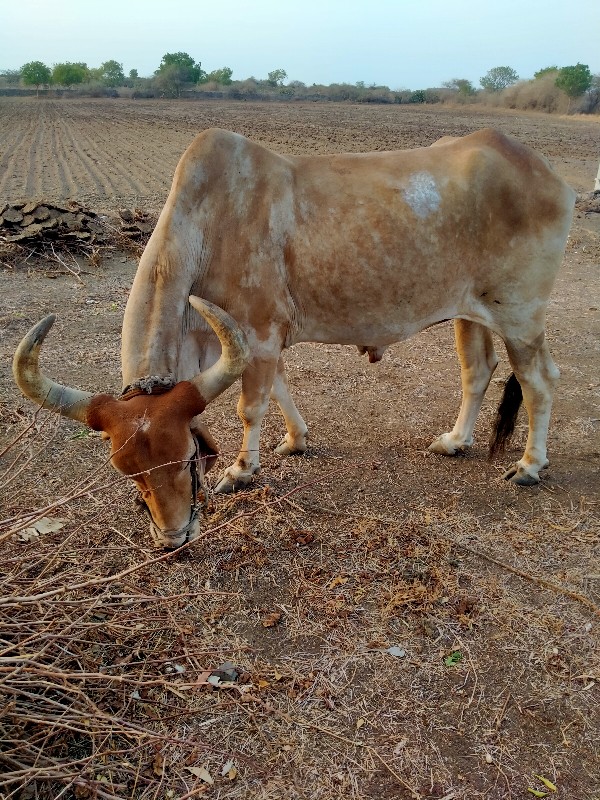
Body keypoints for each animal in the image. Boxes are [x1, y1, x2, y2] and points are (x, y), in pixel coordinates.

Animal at [12, 128, 576, 548]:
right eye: (129, 471)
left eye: (189, 458)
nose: (174, 537)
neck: (208, 225)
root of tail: (547, 175)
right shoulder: (258, 342)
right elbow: (279, 391)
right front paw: (296, 440)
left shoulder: (258, 335)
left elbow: (251, 407)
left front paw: (242, 470)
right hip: (470, 312)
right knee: (477, 372)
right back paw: (456, 441)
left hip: (521, 316)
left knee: (539, 381)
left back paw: (530, 465)